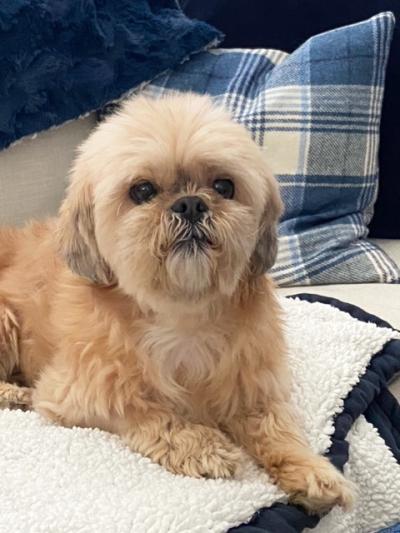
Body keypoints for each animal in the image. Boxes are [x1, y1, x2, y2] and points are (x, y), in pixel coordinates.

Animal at [0, 93, 354, 512]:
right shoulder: (74, 395)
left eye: (224, 185)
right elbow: (142, 409)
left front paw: (311, 470)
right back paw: (13, 393)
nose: (190, 204)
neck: (181, 317)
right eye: (142, 191)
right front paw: (201, 446)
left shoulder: (252, 386)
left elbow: (276, 427)